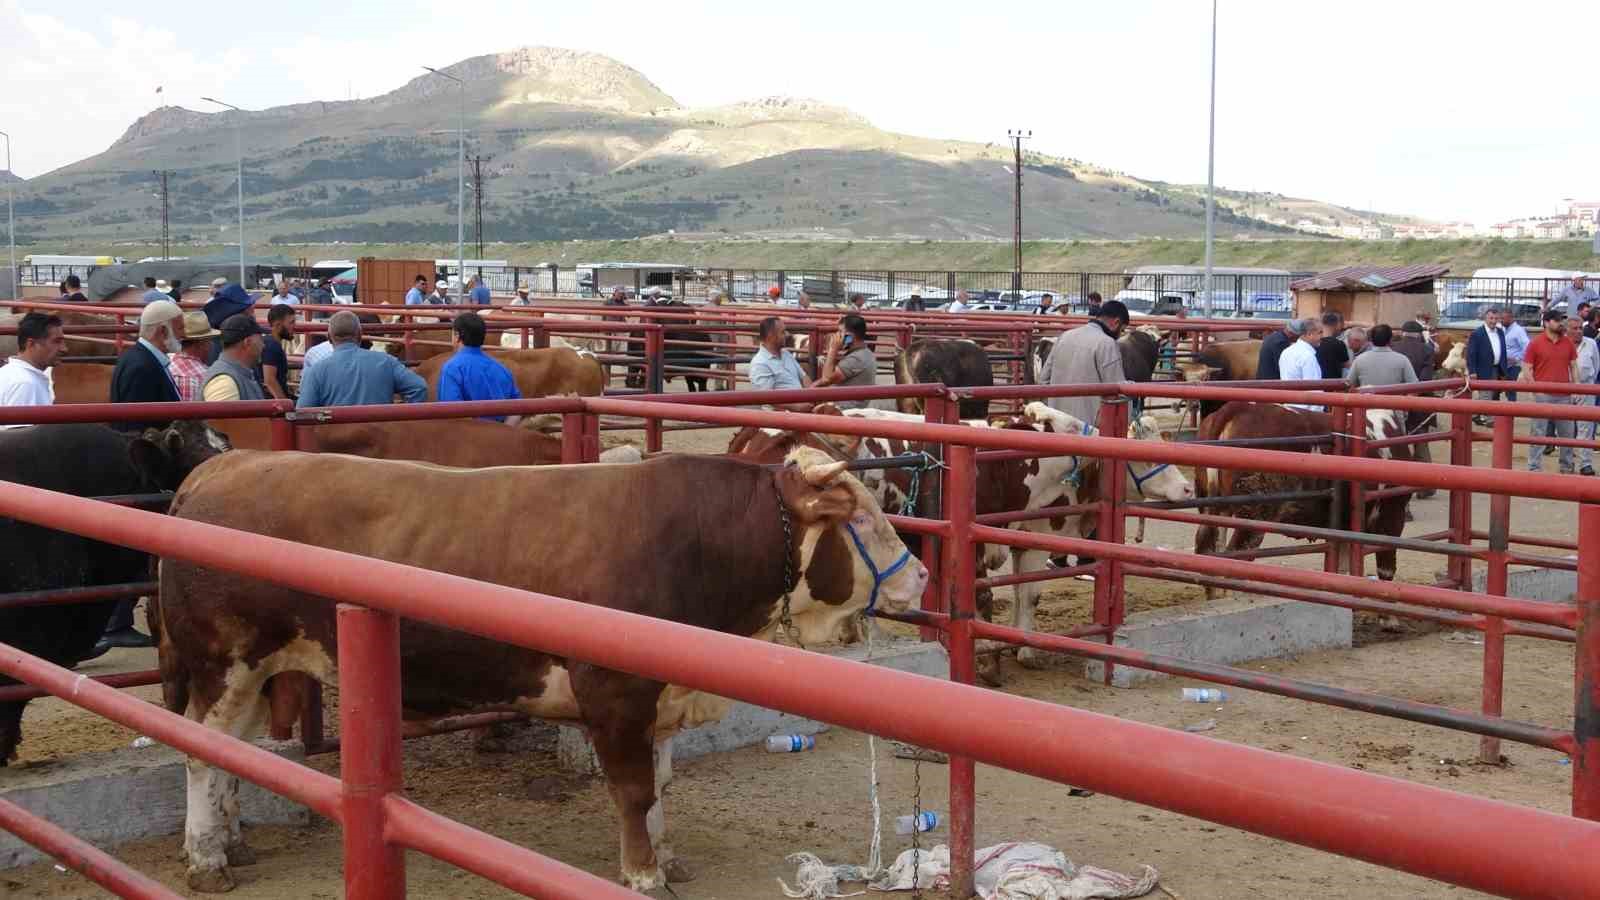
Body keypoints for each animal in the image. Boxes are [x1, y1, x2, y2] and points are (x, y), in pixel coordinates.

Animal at [156, 448, 928, 890]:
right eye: (860, 515)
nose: (919, 577)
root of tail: (220, 468)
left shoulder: (662, 699)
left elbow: (663, 783)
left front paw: (666, 856)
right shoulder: (615, 693)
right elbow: (634, 792)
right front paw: (643, 874)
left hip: (253, 670)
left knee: (225, 753)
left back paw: (230, 843)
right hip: (224, 662)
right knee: (197, 752)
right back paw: (205, 858)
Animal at [1196, 400, 1420, 595]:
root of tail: (1239, 408)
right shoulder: (1392, 514)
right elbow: (1386, 568)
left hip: (1214, 507)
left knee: (1208, 547)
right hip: (1253, 516)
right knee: (1237, 555)